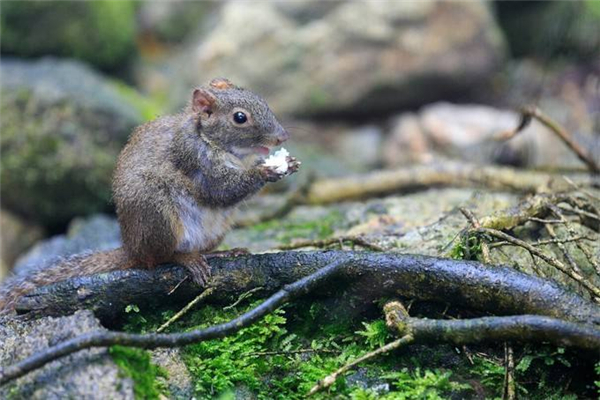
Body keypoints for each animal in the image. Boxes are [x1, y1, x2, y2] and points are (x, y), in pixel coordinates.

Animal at [0, 78, 300, 314]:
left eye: (261, 100)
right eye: (240, 118)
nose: (282, 137)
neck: (212, 141)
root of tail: (131, 248)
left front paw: (286, 163)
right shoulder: (194, 161)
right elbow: (221, 190)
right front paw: (267, 171)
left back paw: (222, 253)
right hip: (157, 213)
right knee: (158, 258)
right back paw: (186, 259)